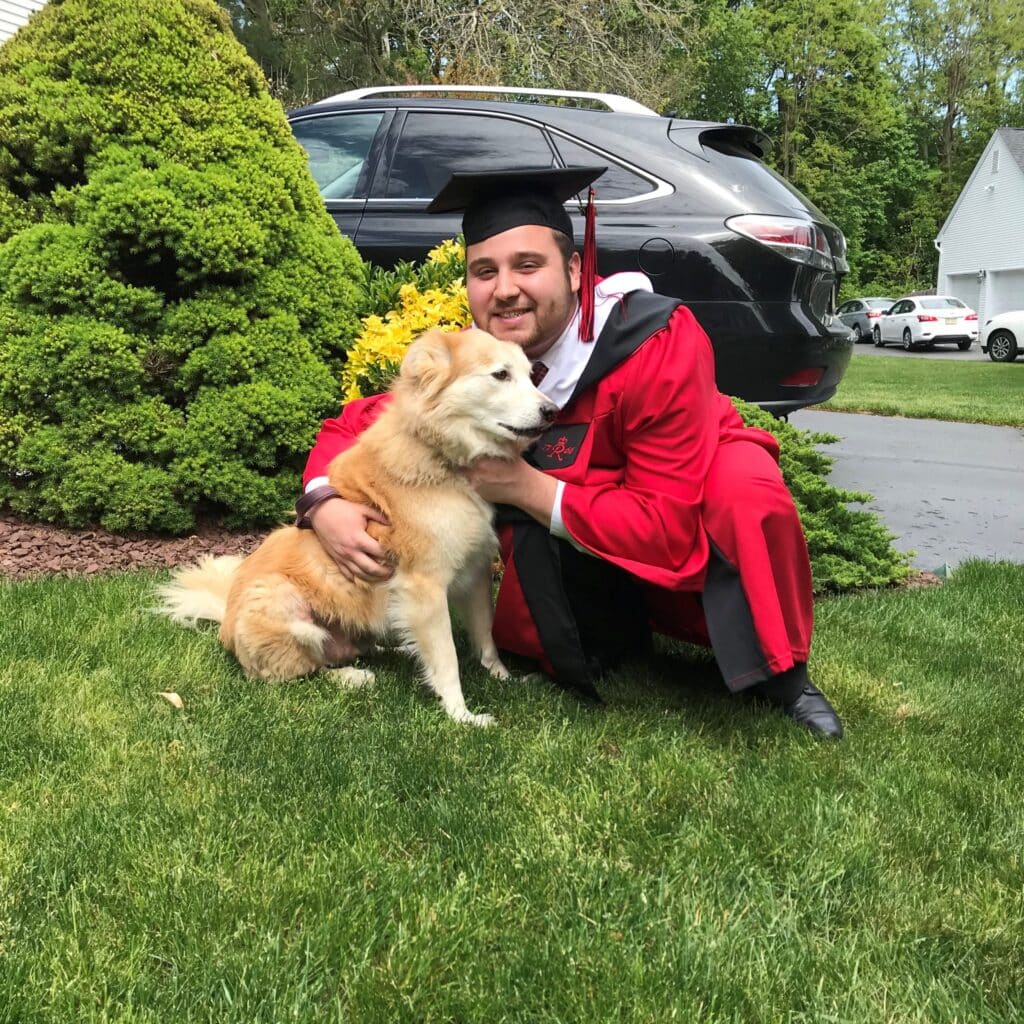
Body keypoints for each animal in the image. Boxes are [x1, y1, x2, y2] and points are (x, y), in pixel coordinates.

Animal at [158, 331, 557, 724]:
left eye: (531, 375)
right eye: (500, 375)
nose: (552, 412)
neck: (441, 454)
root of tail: (224, 621)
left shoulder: (474, 571)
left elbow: (485, 636)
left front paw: (503, 677)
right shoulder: (424, 587)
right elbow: (447, 661)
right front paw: (461, 715)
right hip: (285, 607)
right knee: (297, 671)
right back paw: (352, 676)